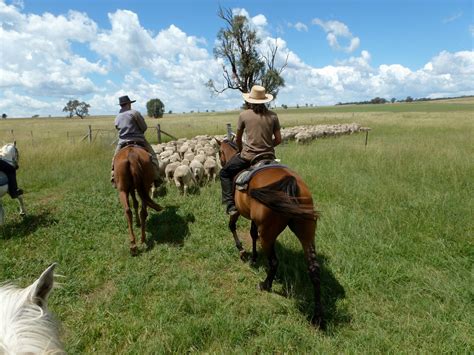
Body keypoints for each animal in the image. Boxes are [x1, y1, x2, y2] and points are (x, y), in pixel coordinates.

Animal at [218, 140, 322, 328]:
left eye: (219, 152)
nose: (221, 163)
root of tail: (290, 182)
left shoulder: (237, 211)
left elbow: (232, 226)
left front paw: (243, 252)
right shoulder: (253, 219)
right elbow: (252, 234)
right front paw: (253, 257)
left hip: (267, 234)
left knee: (274, 262)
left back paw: (265, 285)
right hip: (307, 231)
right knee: (314, 270)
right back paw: (318, 317)